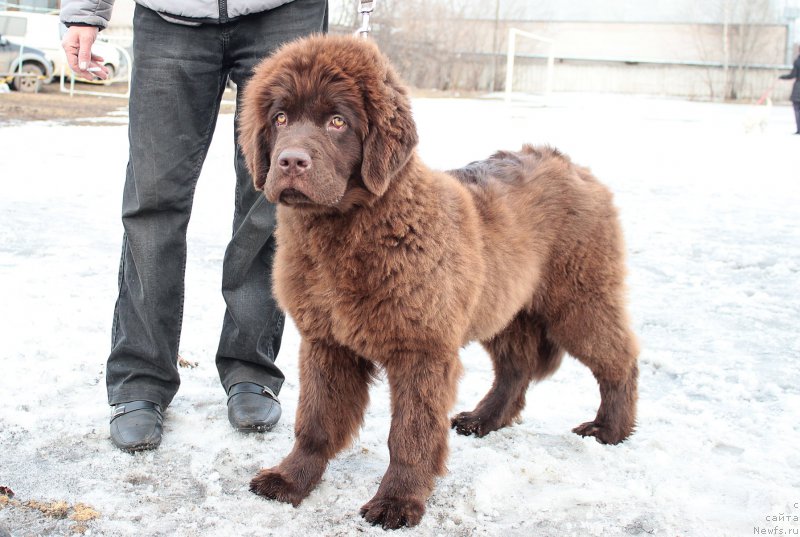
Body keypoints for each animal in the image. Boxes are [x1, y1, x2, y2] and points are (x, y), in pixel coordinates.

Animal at [238, 35, 636, 528]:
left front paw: (397, 502)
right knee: (517, 366)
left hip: (580, 298)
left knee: (619, 359)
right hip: (503, 303)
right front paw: (291, 480)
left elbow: (410, 433)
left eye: (337, 121)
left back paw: (609, 428)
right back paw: (483, 420)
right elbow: (314, 421)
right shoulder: (326, 341)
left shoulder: (422, 348)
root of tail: (577, 168)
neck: (347, 233)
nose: (291, 161)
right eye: (280, 118)